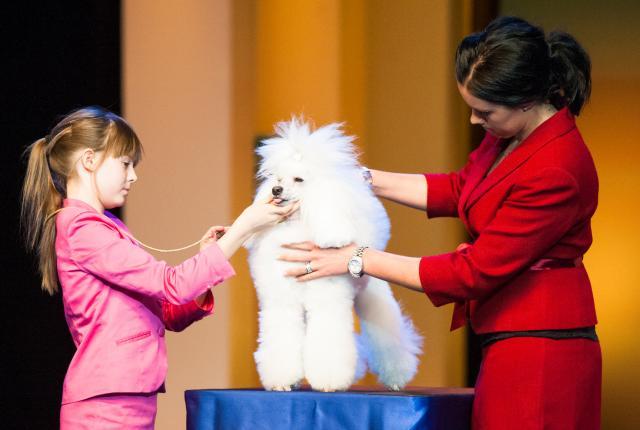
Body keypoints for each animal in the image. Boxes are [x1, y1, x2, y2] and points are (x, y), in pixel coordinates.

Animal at [248, 118, 422, 394]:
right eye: (277, 178)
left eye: (298, 179)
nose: (275, 190)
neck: (298, 223)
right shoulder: (281, 302)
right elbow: (282, 339)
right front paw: (282, 381)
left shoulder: (327, 302)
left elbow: (328, 342)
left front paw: (329, 381)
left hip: (372, 294)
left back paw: (397, 376)